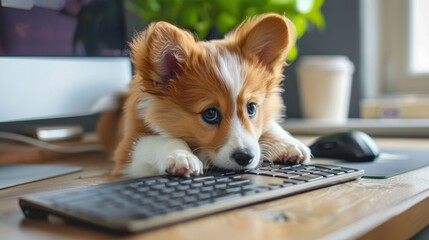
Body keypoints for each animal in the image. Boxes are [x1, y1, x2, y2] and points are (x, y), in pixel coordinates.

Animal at [97, 13, 310, 178]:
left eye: (251, 108)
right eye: (210, 114)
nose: (245, 157)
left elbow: (270, 125)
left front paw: (289, 144)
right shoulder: (128, 150)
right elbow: (162, 140)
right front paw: (182, 157)